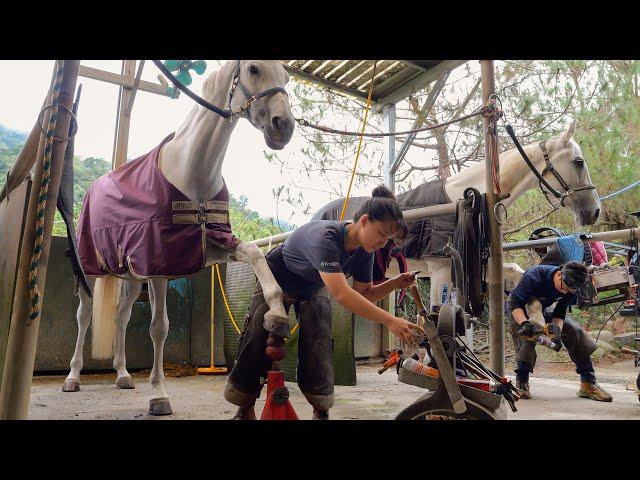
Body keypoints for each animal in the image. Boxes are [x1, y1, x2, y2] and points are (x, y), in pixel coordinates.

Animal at [63, 60, 294, 414]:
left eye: (286, 77)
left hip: (131, 276)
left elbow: (256, 255)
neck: (191, 172)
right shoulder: (159, 265)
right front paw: (159, 395)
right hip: (90, 269)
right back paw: (73, 377)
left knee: (121, 316)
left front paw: (278, 315)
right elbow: (159, 328)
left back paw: (123, 374)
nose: (284, 126)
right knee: (84, 316)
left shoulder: (213, 244)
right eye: (253, 69)